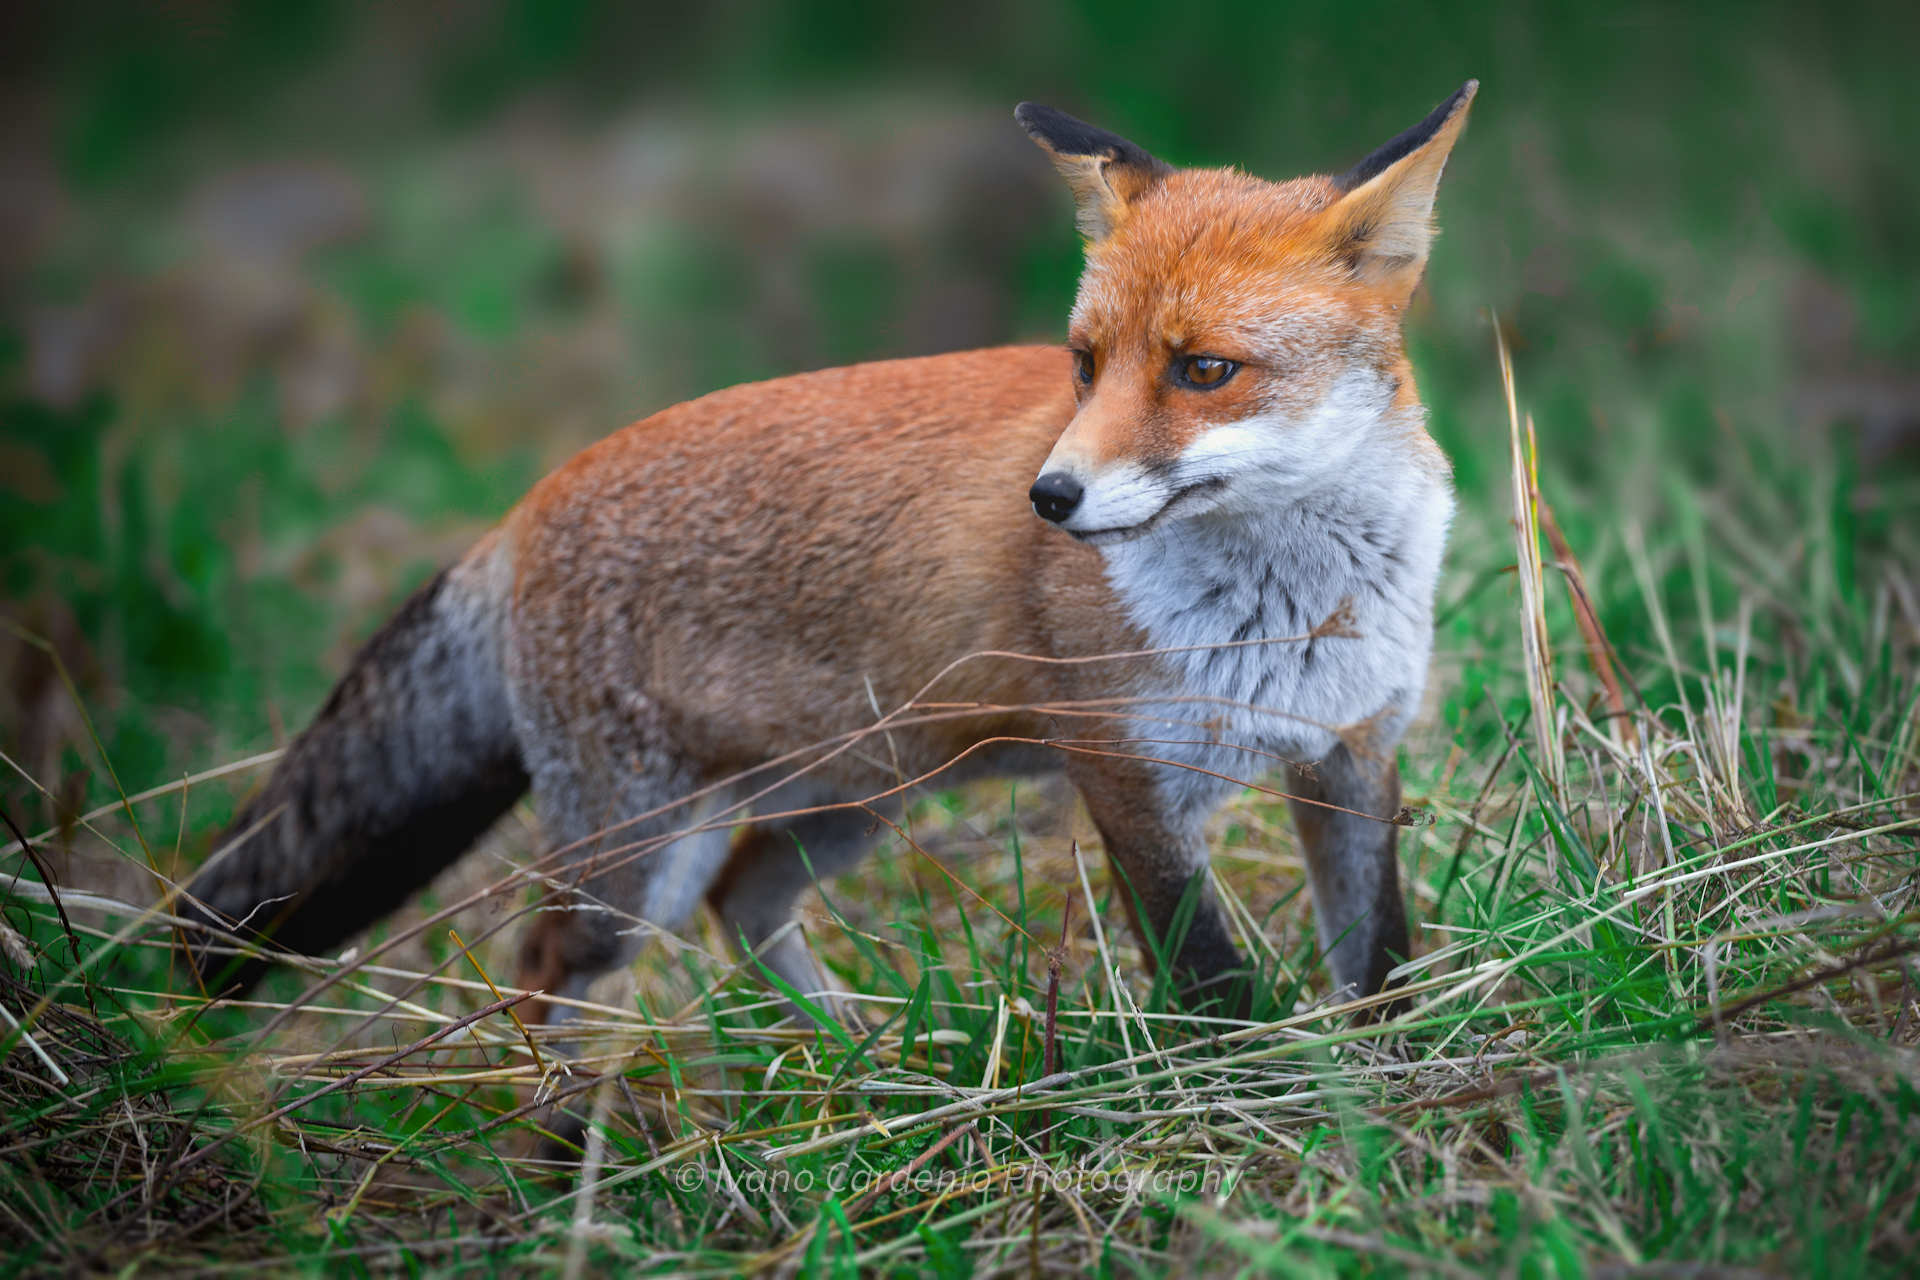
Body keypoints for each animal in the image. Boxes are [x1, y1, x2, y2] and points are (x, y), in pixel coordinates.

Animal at [179, 82, 1477, 1027]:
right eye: (1084, 363)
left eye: (1205, 369)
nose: (1050, 497)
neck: (1293, 612)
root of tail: (527, 501)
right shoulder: (1128, 775)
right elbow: (1215, 985)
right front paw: (1265, 1102)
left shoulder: (1354, 749)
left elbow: (1380, 958)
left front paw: (1381, 1092)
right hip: (637, 853)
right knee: (549, 963)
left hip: (849, 793)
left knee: (743, 904)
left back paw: (859, 1060)